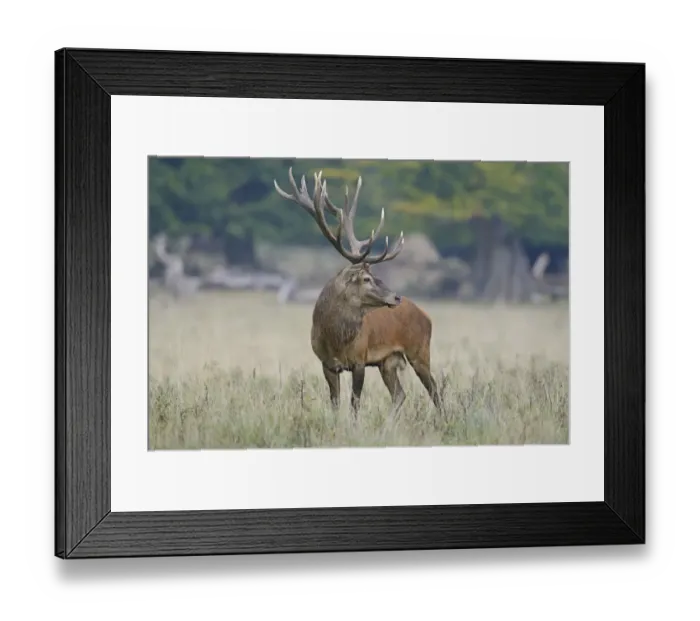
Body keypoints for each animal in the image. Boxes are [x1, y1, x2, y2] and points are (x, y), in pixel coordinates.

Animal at [273, 168, 443, 418]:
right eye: (366, 279)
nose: (396, 297)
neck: (335, 340)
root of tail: (426, 315)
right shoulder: (326, 364)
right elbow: (335, 403)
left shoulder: (360, 360)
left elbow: (354, 405)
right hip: (388, 361)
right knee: (400, 394)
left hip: (419, 350)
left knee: (435, 391)